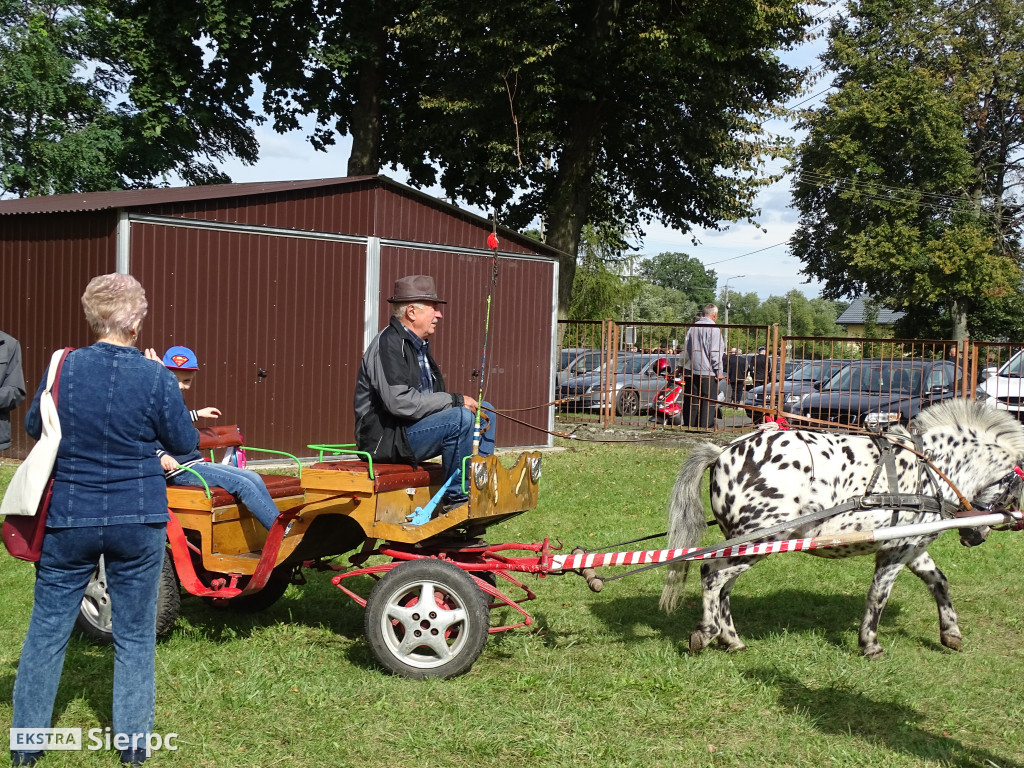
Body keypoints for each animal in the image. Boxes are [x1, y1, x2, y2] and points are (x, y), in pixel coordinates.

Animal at [659, 399, 1019, 659]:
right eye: (1015, 489)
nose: (977, 536)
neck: (931, 469)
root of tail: (723, 452)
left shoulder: (910, 547)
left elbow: (939, 583)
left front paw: (951, 634)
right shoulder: (897, 551)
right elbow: (878, 595)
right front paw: (870, 644)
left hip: (746, 542)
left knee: (724, 586)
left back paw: (731, 639)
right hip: (762, 539)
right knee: (712, 575)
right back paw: (707, 632)